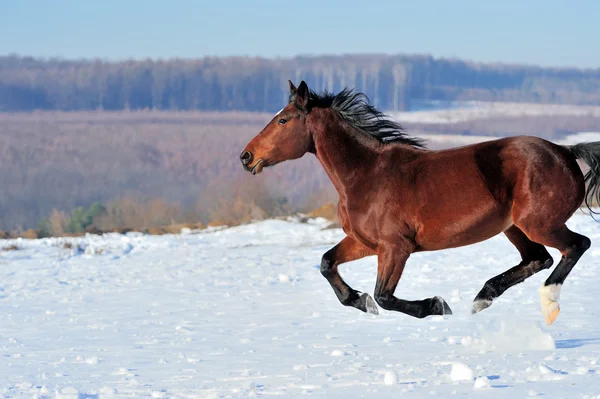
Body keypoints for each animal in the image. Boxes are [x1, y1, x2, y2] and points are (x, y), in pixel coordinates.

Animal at [239, 80, 600, 324]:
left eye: (283, 120)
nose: (246, 157)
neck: (367, 175)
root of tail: (565, 151)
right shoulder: (366, 242)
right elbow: (328, 263)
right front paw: (360, 301)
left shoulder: (395, 247)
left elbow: (385, 295)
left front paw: (436, 305)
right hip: (514, 227)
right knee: (538, 258)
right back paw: (481, 299)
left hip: (538, 223)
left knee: (576, 245)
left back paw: (548, 304)